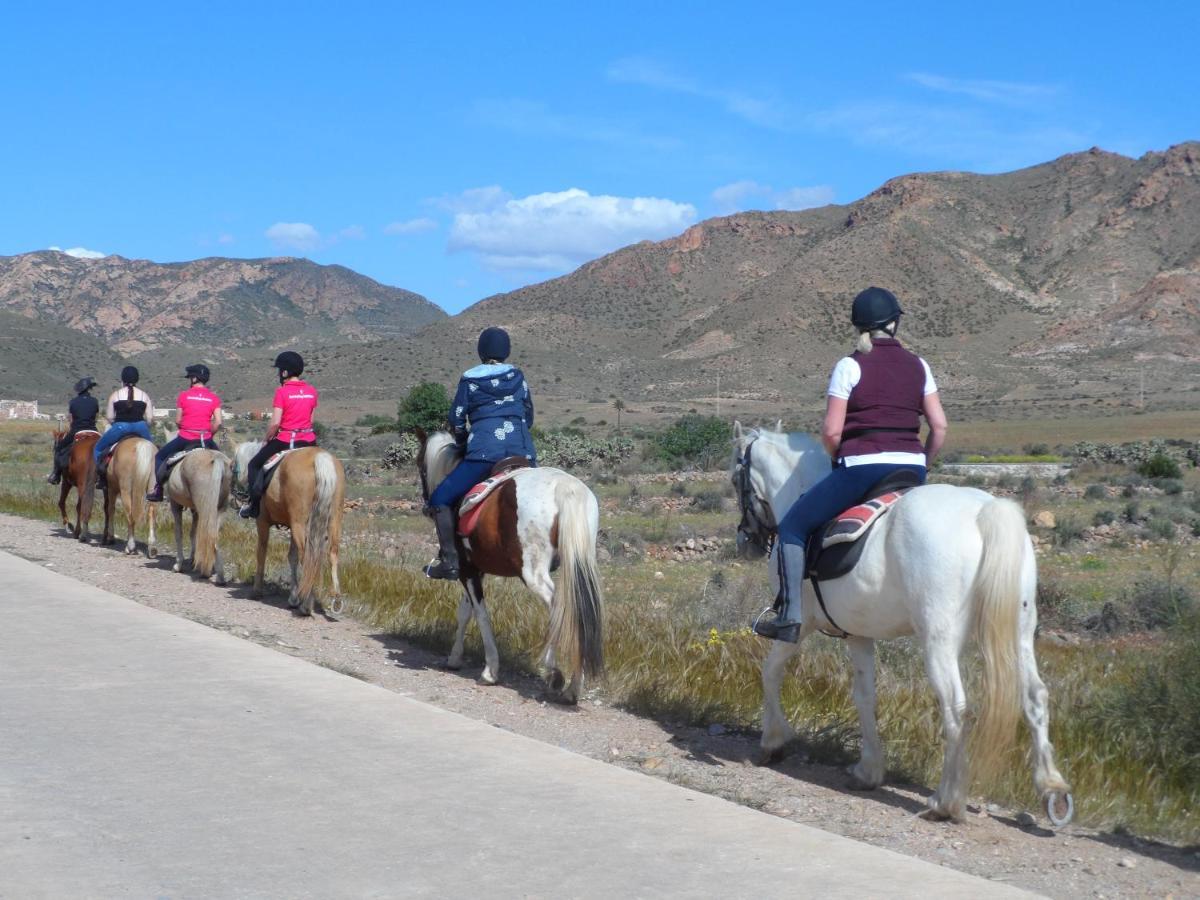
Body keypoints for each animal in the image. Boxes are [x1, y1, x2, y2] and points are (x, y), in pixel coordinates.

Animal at [162, 427, 231, 585]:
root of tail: (216, 459)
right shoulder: (195, 511)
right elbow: (193, 533)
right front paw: (192, 560)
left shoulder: (175, 505)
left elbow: (179, 532)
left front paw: (179, 564)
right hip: (218, 509)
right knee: (213, 535)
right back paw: (219, 575)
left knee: (207, 535)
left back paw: (206, 572)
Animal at [234, 441, 345, 619]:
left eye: (233, 468)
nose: (237, 497)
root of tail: (321, 458)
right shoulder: (292, 527)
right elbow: (292, 557)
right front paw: (293, 597)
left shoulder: (262, 521)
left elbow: (261, 552)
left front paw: (257, 590)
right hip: (334, 518)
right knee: (331, 554)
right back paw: (335, 600)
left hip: (301, 523)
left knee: (306, 557)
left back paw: (306, 605)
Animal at [417, 429, 604, 705]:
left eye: (420, 465)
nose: (426, 505)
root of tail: (565, 487)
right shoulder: (475, 570)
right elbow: (465, 612)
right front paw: (455, 657)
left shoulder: (467, 571)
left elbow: (480, 614)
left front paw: (490, 670)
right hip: (579, 564)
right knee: (579, 609)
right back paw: (573, 687)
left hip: (533, 573)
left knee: (559, 606)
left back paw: (552, 670)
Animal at [729, 427, 1080, 830]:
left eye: (735, 478)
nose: (745, 541)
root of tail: (983, 511)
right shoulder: (859, 634)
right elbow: (865, 696)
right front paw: (868, 769)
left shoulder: (799, 626)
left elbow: (770, 671)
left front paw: (773, 740)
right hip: (1018, 633)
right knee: (1034, 696)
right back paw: (1052, 788)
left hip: (939, 640)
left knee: (956, 707)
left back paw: (946, 802)